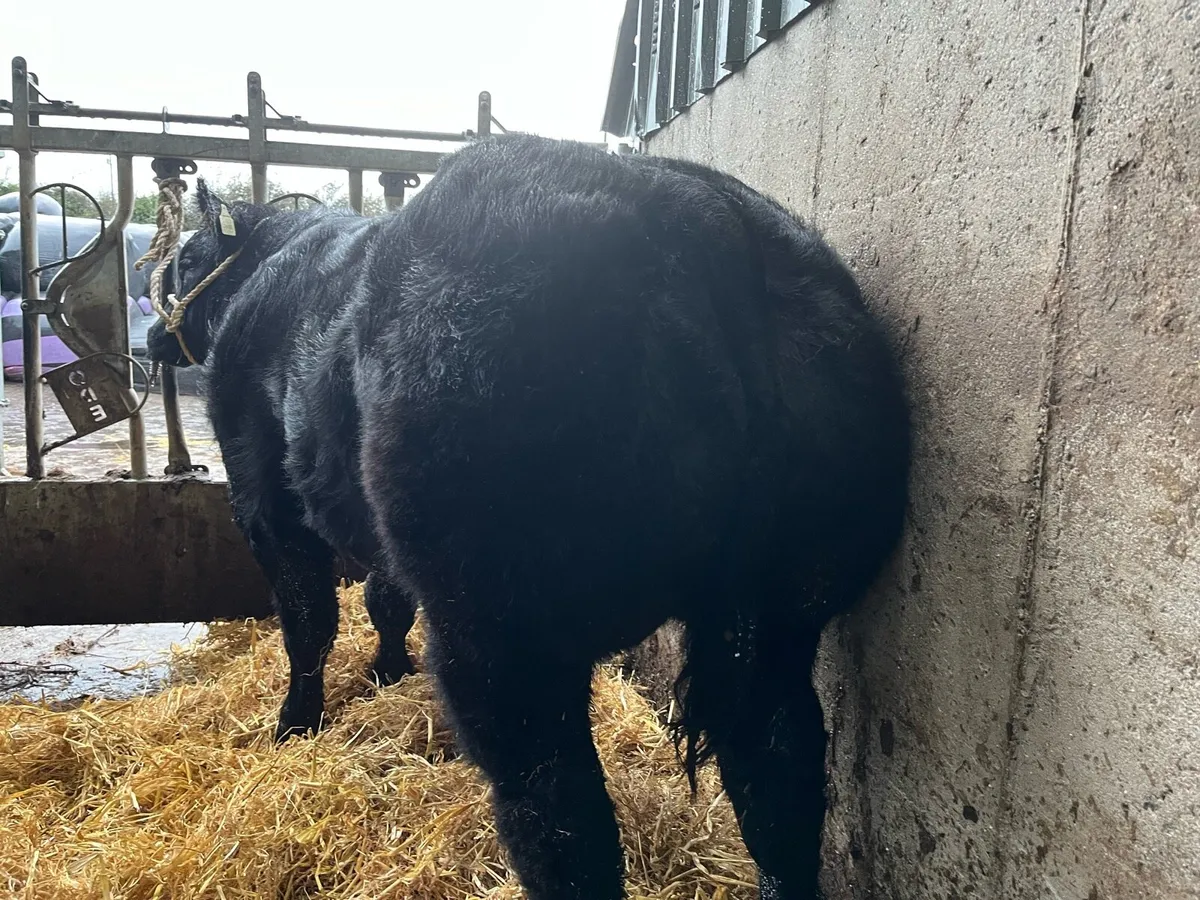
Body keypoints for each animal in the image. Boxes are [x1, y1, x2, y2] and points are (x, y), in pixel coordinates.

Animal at [147, 134, 911, 900]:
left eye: (184, 261)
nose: (154, 334)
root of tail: (703, 211)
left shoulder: (262, 498)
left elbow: (308, 623)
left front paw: (294, 727)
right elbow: (385, 600)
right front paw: (387, 673)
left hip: (502, 628)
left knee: (559, 815)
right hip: (784, 605)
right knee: (779, 771)